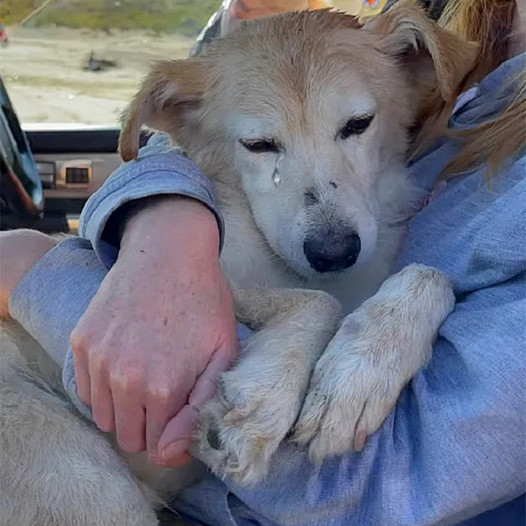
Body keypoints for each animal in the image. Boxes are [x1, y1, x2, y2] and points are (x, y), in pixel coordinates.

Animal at [0, 2, 478, 524]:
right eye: (259, 145)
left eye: (358, 124)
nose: (334, 252)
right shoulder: (195, 288)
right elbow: (318, 301)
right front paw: (263, 402)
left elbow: (429, 275)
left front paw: (358, 375)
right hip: (83, 482)